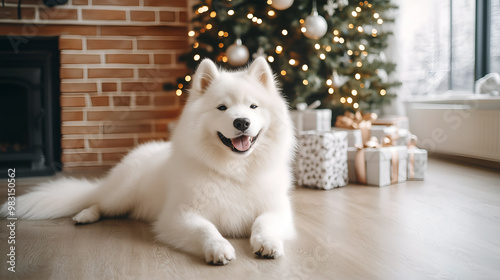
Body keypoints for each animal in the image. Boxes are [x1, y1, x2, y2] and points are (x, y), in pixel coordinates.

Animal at [0, 57, 296, 264]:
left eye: (253, 107)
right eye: (222, 108)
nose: (242, 122)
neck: (234, 170)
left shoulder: (277, 209)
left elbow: (264, 223)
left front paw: (268, 244)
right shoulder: (177, 216)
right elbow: (207, 229)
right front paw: (218, 248)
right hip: (121, 194)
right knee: (98, 201)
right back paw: (85, 215)